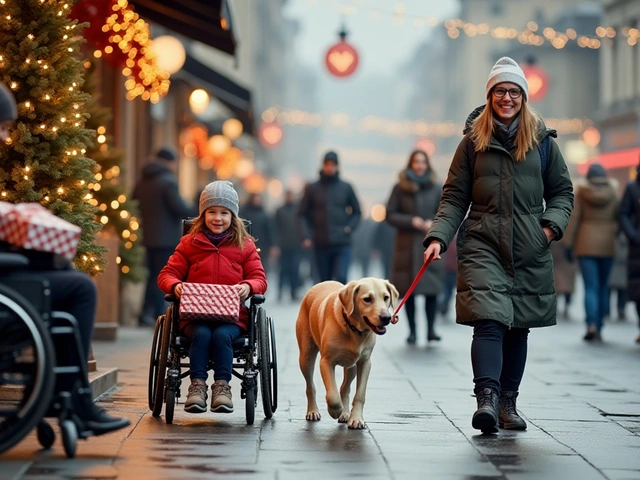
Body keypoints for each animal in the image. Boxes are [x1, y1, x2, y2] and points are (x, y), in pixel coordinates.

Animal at [296, 280, 398, 430]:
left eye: (386, 297)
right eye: (367, 299)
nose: (386, 318)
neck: (354, 329)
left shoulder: (365, 362)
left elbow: (360, 394)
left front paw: (355, 418)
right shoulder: (326, 362)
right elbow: (332, 395)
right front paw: (334, 411)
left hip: (352, 366)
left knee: (344, 388)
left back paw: (345, 413)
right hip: (306, 356)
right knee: (310, 385)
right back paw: (313, 411)